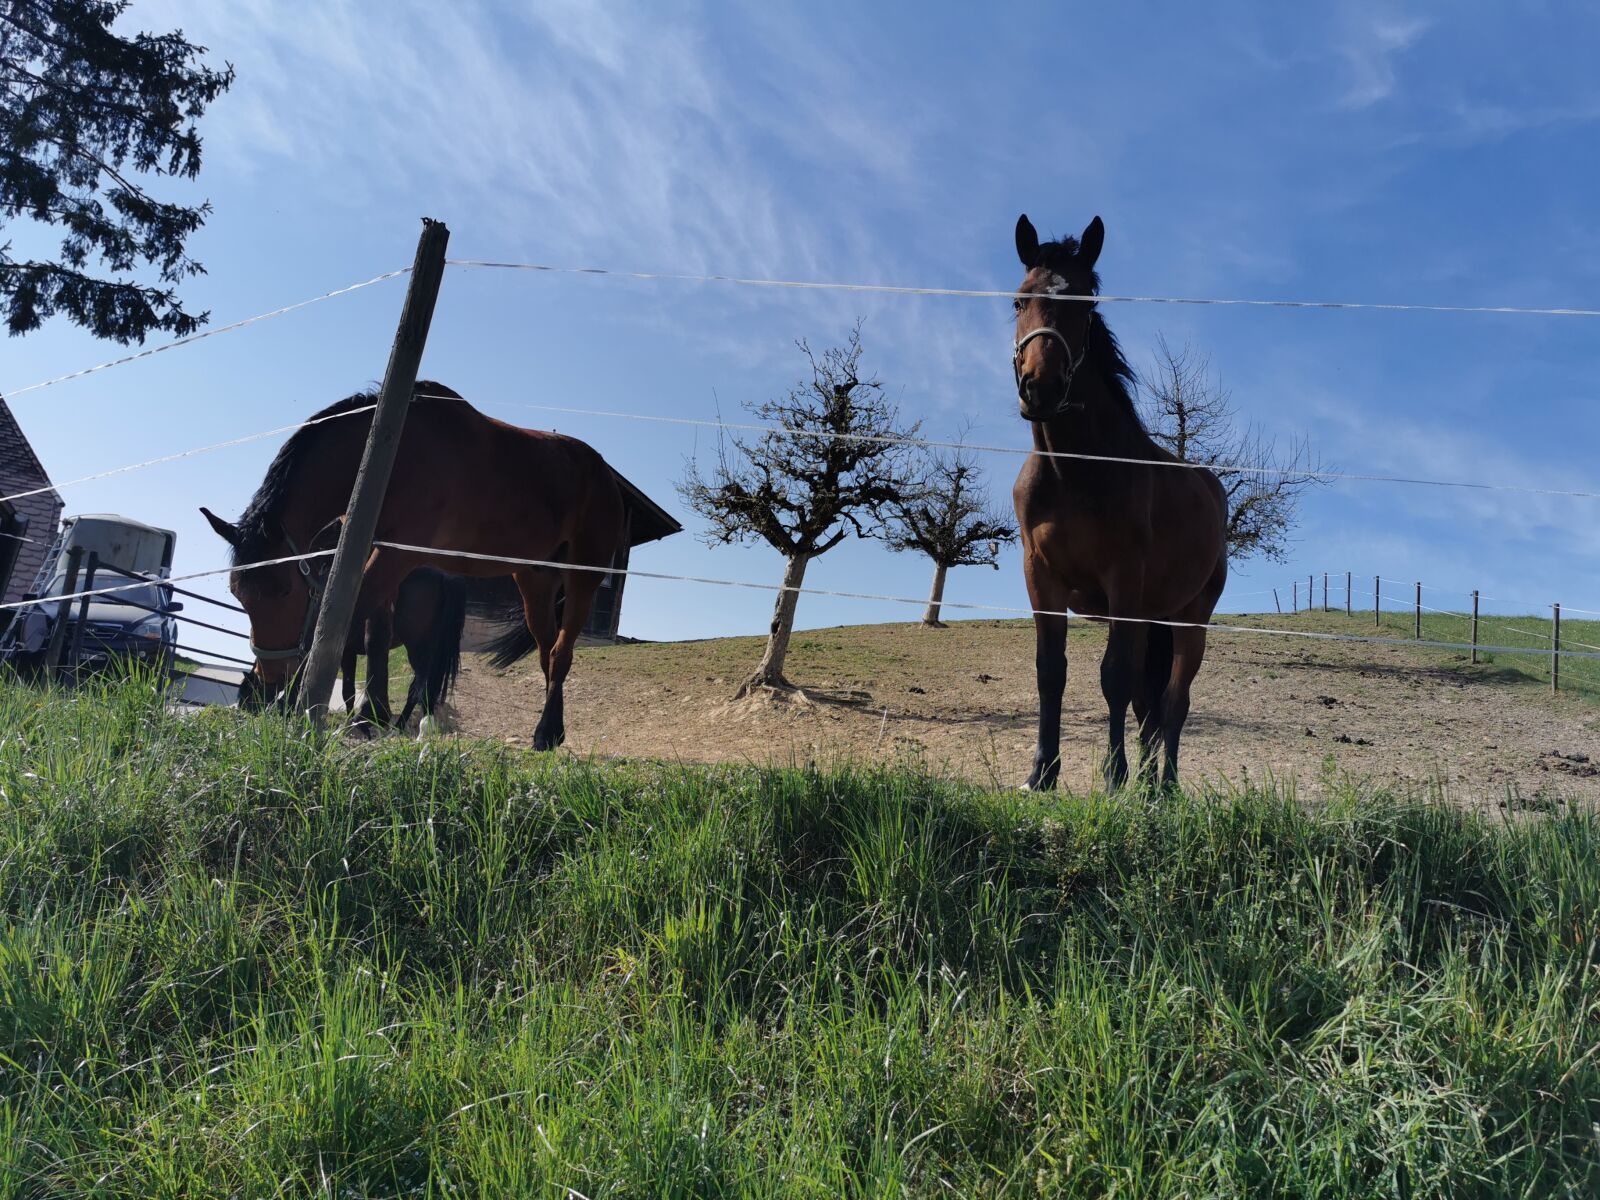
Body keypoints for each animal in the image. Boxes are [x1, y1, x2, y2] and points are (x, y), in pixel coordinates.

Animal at [203, 382, 625, 750]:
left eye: (284, 590)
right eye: (238, 595)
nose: (270, 682)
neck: (392, 453)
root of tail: (604, 473)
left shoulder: (396, 556)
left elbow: (345, 622)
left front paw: (322, 705)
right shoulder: (377, 552)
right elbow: (368, 628)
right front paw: (365, 713)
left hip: (583, 578)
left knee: (561, 652)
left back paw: (546, 732)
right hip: (533, 581)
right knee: (546, 650)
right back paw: (549, 728)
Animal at [1010, 214, 1228, 792]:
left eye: (1085, 304)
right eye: (1019, 301)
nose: (1039, 387)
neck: (1075, 470)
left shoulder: (1123, 581)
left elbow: (1113, 677)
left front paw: (1112, 778)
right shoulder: (1041, 578)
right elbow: (1051, 671)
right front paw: (1042, 773)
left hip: (1188, 619)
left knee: (1174, 702)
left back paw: (1164, 788)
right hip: (1154, 618)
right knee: (1149, 704)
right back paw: (1149, 787)